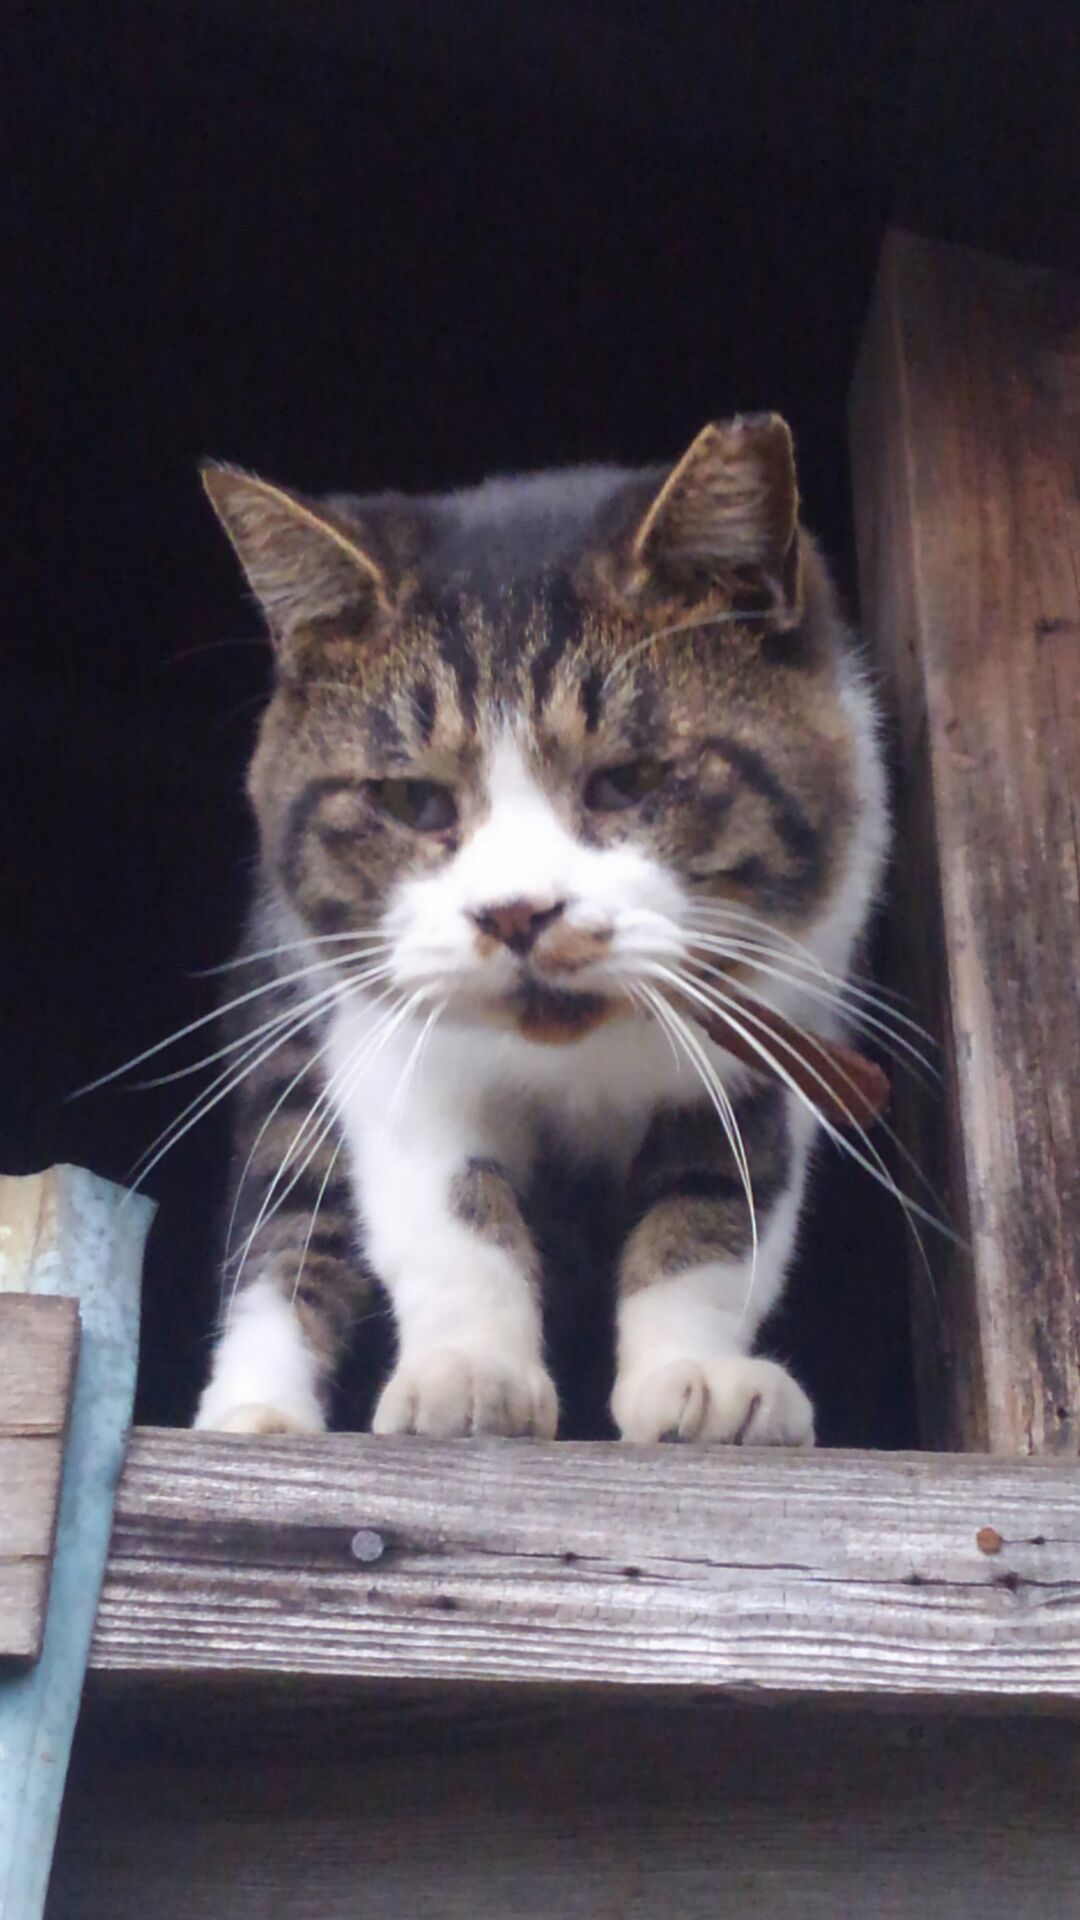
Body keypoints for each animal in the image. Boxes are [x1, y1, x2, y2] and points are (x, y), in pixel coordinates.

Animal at [193, 414, 887, 1445]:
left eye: (629, 782)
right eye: (414, 800)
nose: (517, 912)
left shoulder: (775, 1030)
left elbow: (718, 1208)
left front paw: (695, 1376)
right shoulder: (388, 1038)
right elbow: (448, 1209)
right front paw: (470, 1372)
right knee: (287, 1227)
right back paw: (254, 1414)